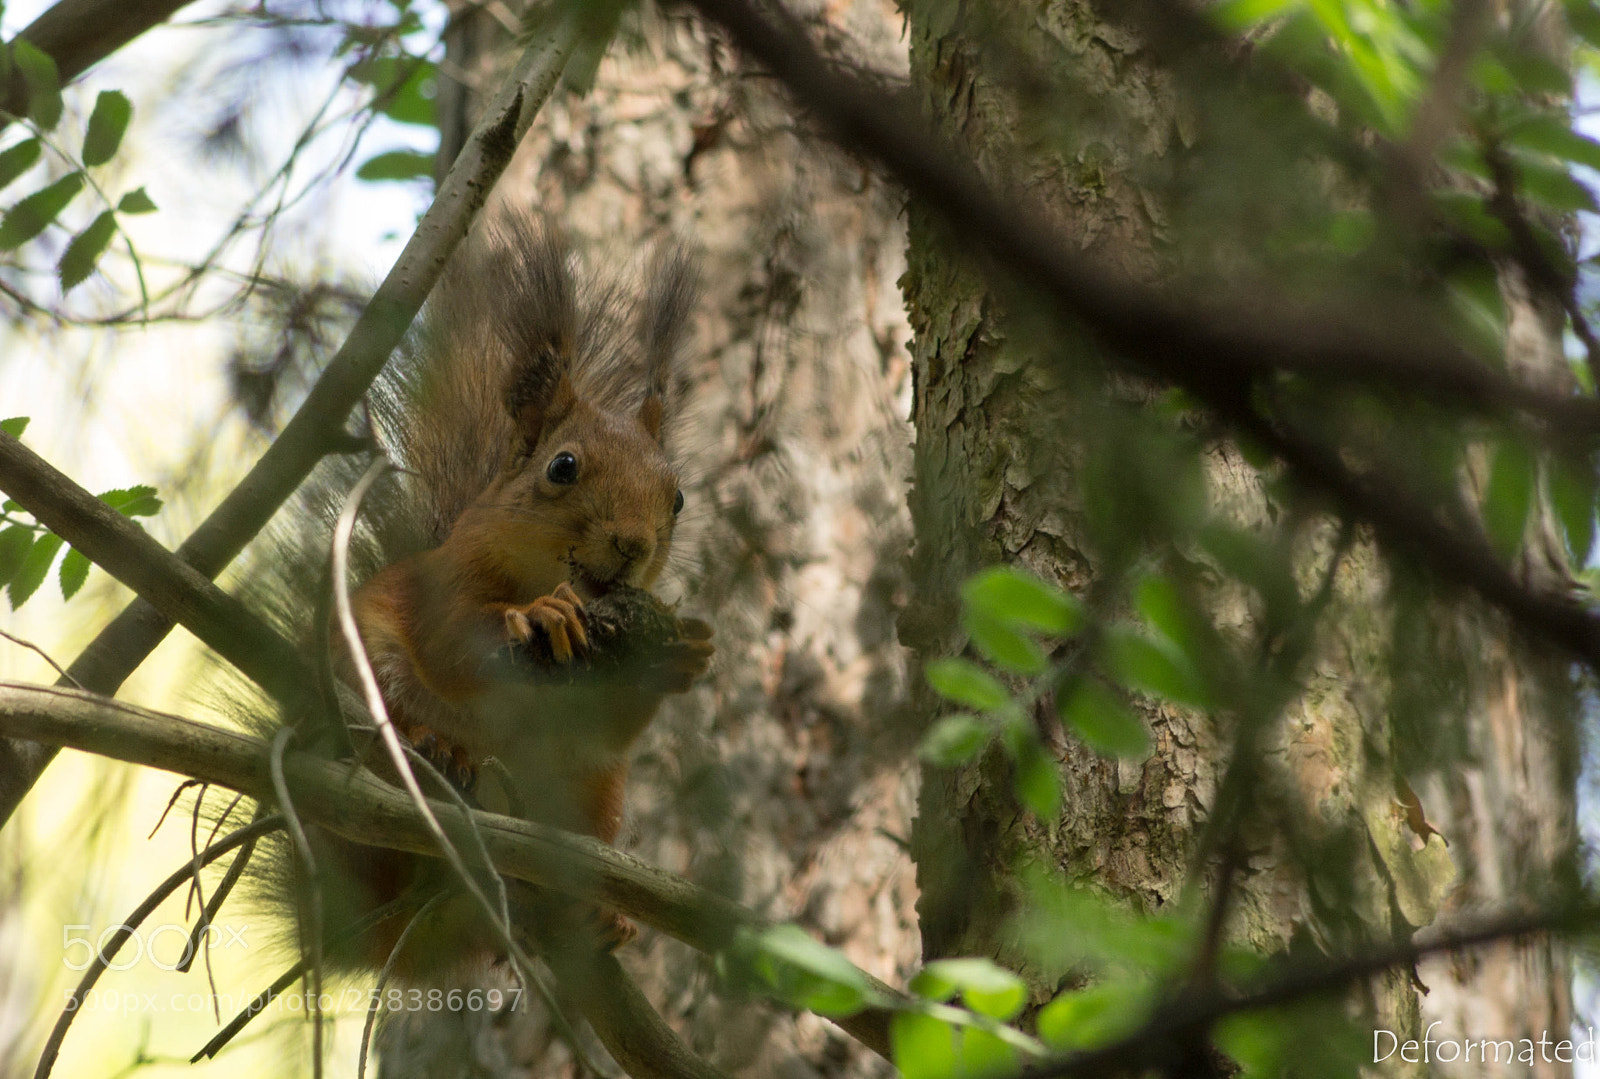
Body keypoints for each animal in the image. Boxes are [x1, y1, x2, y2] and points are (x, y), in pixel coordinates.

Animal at [233, 212, 716, 992]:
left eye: (677, 498)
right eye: (562, 466)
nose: (633, 545)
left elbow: (614, 722)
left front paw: (686, 652)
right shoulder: (444, 582)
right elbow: (453, 641)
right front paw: (538, 617)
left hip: (591, 793)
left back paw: (594, 914)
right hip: (357, 700)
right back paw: (435, 748)